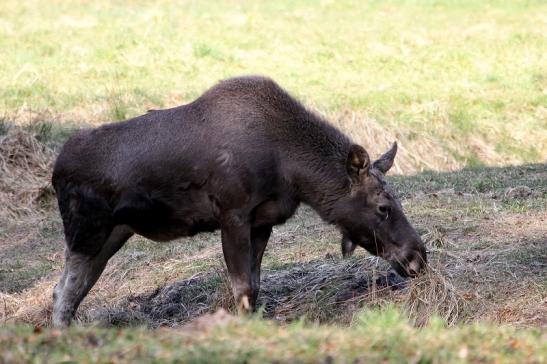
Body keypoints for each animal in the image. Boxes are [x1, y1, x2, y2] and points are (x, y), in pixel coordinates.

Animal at [51, 77, 428, 328]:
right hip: (85, 230)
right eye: (383, 207)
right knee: (64, 292)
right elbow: (242, 288)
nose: (418, 257)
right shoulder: (233, 214)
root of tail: (55, 170)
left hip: (114, 232)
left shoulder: (263, 221)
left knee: (69, 291)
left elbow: (256, 285)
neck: (291, 170)